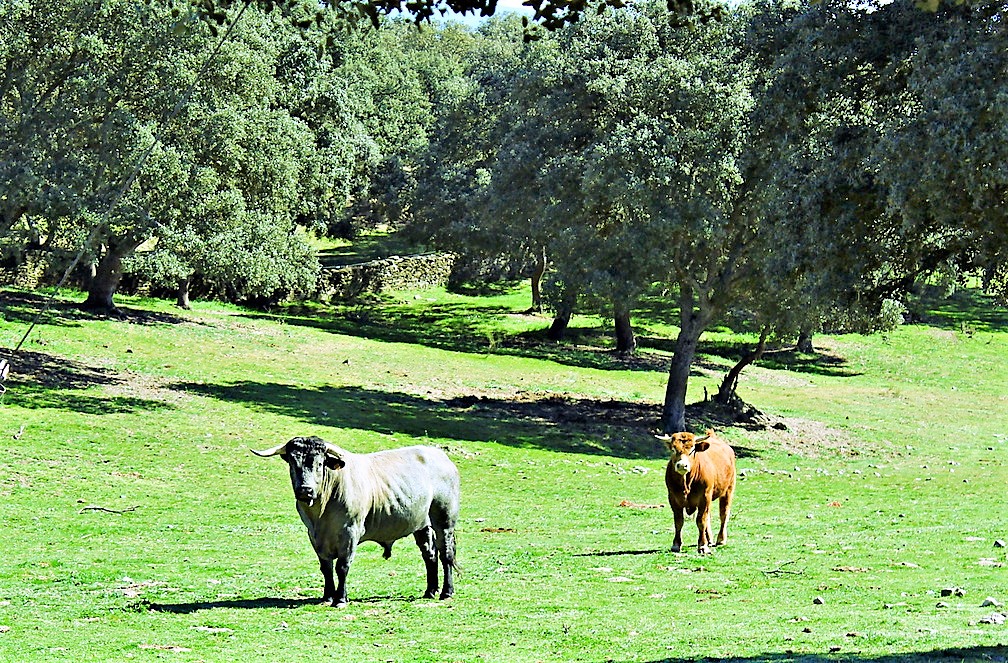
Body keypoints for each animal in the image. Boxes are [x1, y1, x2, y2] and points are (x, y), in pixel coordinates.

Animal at [252, 433, 461, 604]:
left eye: (319, 464)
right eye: (293, 463)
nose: (305, 490)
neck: (321, 513)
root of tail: (441, 457)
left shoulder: (350, 532)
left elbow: (342, 566)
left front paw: (340, 599)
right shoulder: (314, 536)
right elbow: (326, 567)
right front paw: (328, 596)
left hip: (444, 521)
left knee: (445, 554)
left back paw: (446, 592)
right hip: (422, 525)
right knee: (429, 554)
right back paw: (430, 591)